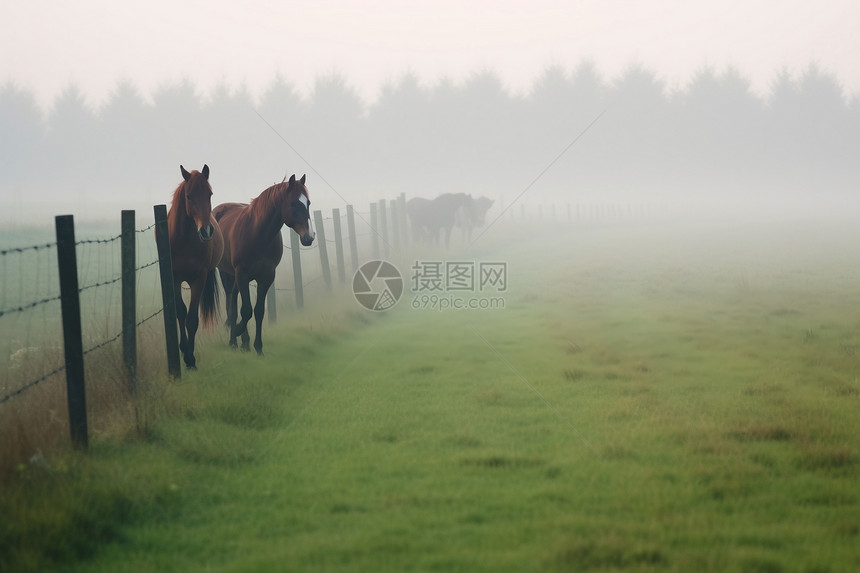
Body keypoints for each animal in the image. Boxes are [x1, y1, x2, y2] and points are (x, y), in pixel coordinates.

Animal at [166, 163, 223, 368]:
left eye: (210, 194)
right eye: (189, 196)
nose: (206, 231)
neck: (183, 240)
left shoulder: (199, 279)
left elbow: (191, 319)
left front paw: (190, 358)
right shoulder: (174, 279)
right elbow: (181, 313)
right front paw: (184, 350)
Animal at [212, 172, 316, 356]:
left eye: (308, 203)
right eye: (293, 203)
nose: (308, 237)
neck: (257, 234)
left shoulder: (266, 276)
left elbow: (258, 311)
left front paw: (258, 346)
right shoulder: (242, 274)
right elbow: (246, 310)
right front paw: (237, 331)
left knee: (234, 300)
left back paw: (243, 343)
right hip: (227, 273)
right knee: (231, 303)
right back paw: (234, 340)